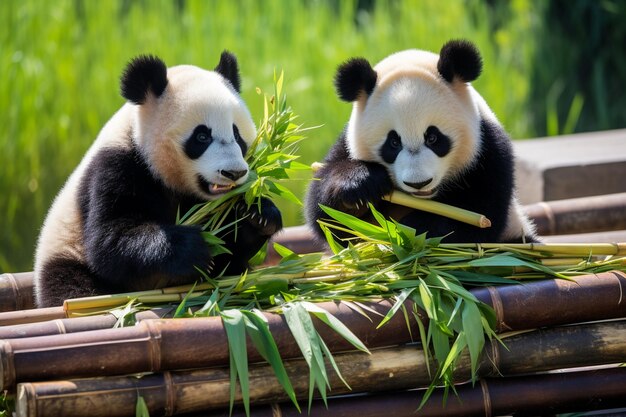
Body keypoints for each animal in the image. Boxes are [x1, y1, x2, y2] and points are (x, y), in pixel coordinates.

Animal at [31, 51, 280, 306]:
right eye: (201, 136)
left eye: (237, 135)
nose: (234, 173)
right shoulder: (115, 168)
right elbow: (110, 241)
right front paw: (193, 247)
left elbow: (229, 251)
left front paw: (260, 215)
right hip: (65, 255)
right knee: (74, 287)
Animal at [304, 39, 532, 244]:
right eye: (393, 143)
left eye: (433, 138)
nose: (419, 183)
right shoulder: (346, 144)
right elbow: (329, 220)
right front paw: (357, 188)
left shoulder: (488, 151)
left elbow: (477, 219)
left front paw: (407, 229)